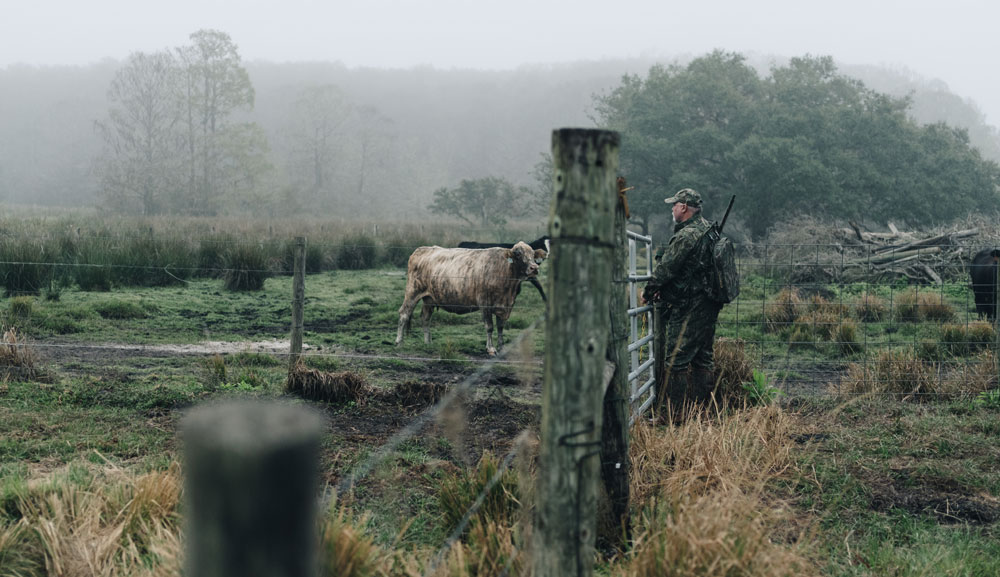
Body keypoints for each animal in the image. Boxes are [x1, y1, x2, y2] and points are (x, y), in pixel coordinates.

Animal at [394, 240, 548, 356]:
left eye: (533, 254)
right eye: (518, 254)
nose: (534, 268)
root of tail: (422, 249)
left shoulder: (504, 305)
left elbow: (500, 327)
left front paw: (502, 347)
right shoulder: (485, 303)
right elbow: (489, 327)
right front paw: (491, 349)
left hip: (429, 298)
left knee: (425, 318)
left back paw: (428, 343)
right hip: (412, 292)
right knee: (404, 314)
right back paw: (399, 342)